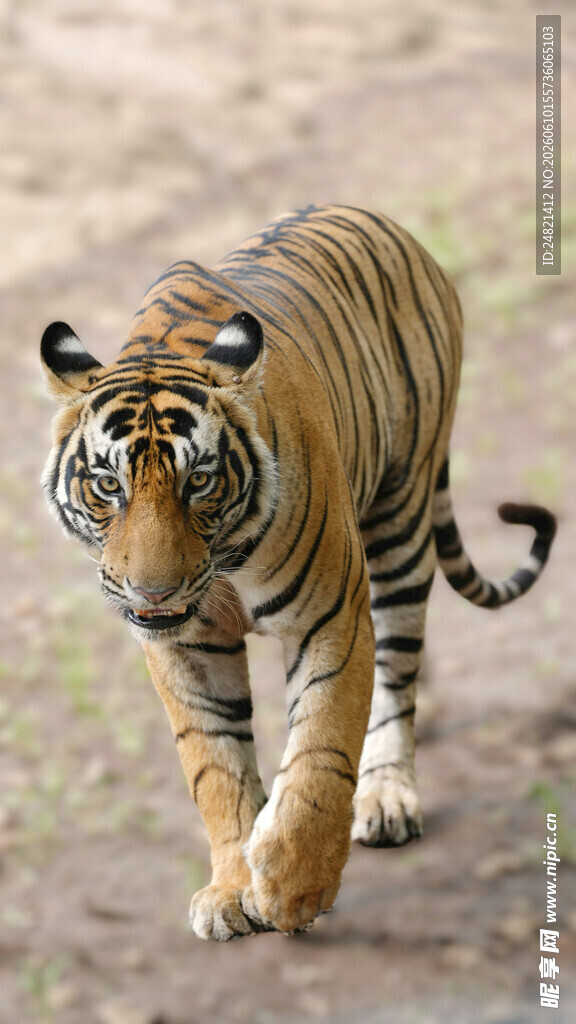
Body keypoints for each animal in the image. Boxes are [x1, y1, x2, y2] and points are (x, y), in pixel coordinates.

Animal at [41, 205, 556, 941]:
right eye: (109, 485)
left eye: (199, 481)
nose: (153, 590)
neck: (221, 566)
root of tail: (389, 224)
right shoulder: (184, 647)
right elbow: (216, 765)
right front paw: (231, 890)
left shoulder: (330, 616)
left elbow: (320, 750)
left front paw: (291, 889)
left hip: (400, 523)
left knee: (397, 672)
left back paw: (387, 796)